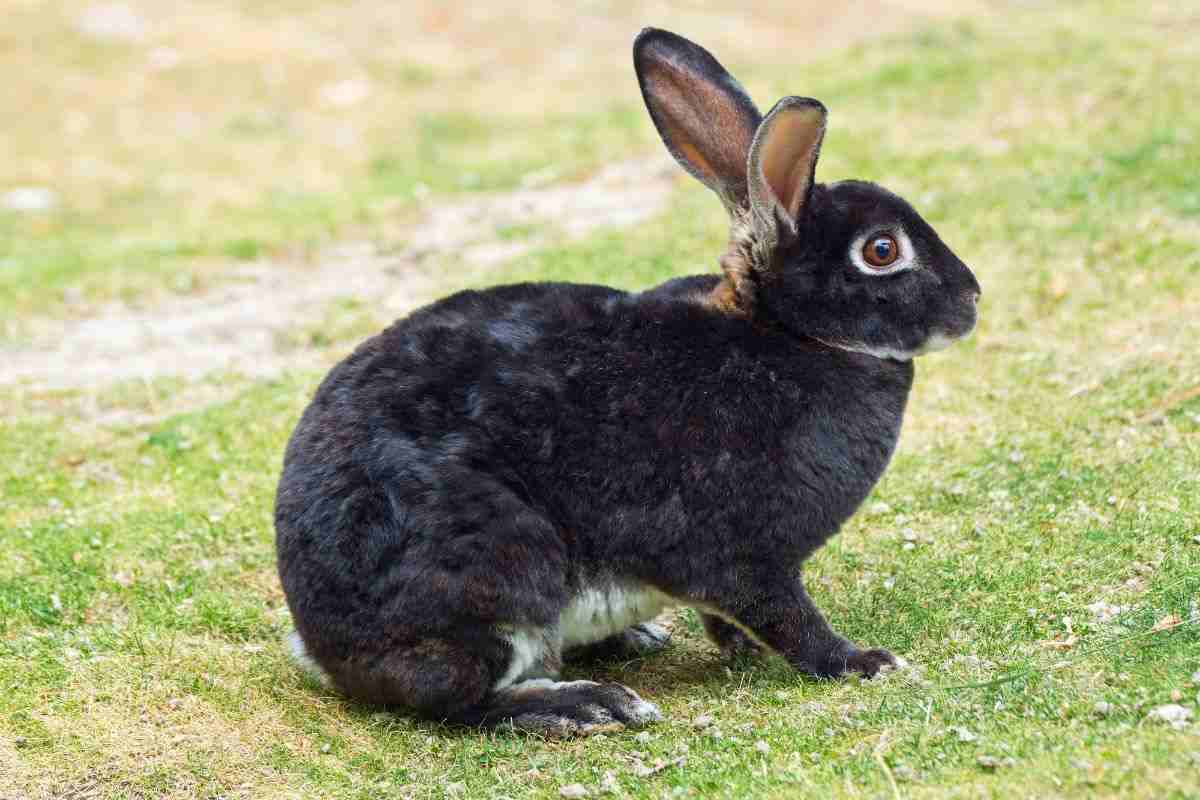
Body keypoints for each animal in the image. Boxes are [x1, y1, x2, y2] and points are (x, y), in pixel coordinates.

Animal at [274, 27, 980, 737]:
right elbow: (787, 617)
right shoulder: (746, 555)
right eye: (882, 251)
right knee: (464, 699)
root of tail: (323, 646)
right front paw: (860, 661)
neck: (790, 334)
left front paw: (740, 651)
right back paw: (589, 702)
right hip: (499, 573)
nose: (972, 301)